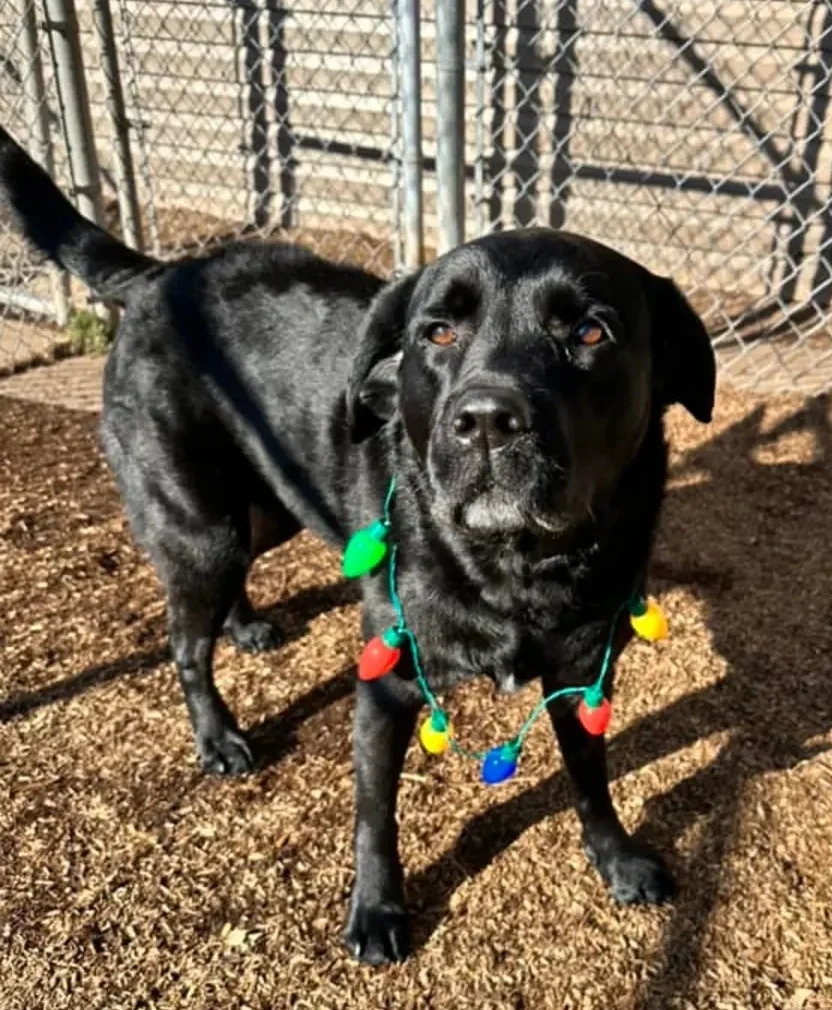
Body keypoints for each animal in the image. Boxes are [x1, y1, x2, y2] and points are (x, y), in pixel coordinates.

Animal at [1, 125, 715, 964]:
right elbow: (376, 811)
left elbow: (591, 779)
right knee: (184, 639)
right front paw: (376, 908)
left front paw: (616, 857)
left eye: (591, 332)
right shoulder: (385, 685)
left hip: (266, 506)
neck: (513, 570)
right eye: (437, 331)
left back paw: (245, 625)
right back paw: (217, 735)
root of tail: (160, 278)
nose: (486, 421)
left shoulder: (582, 676)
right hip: (201, 527)